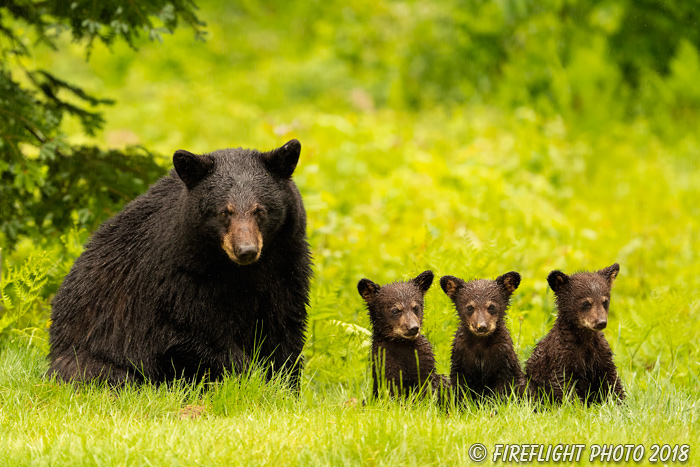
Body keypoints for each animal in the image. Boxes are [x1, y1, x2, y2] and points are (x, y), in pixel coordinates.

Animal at [47, 141, 310, 390]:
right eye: (224, 212)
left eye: (260, 211)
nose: (246, 251)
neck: (238, 270)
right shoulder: (179, 278)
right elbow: (194, 333)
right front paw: (256, 381)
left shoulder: (285, 266)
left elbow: (284, 329)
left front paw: (285, 388)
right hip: (88, 352)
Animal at [356, 272, 448, 400]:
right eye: (395, 310)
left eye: (415, 307)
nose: (413, 328)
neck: (402, 343)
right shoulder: (384, 359)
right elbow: (392, 388)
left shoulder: (423, 361)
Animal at [440, 272, 524, 404]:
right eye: (470, 307)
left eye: (491, 306)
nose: (481, 326)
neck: (481, 344)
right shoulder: (460, 357)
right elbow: (460, 386)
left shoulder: (503, 358)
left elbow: (503, 387)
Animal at [524, 266, 628, 404]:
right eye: (586, 303)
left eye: (605, 301)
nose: (601, 322)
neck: (584, 338)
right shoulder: (560, 357)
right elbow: (563, 384)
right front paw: (575, 406)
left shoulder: (601, 355)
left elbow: (611, 379)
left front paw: (621, 403)